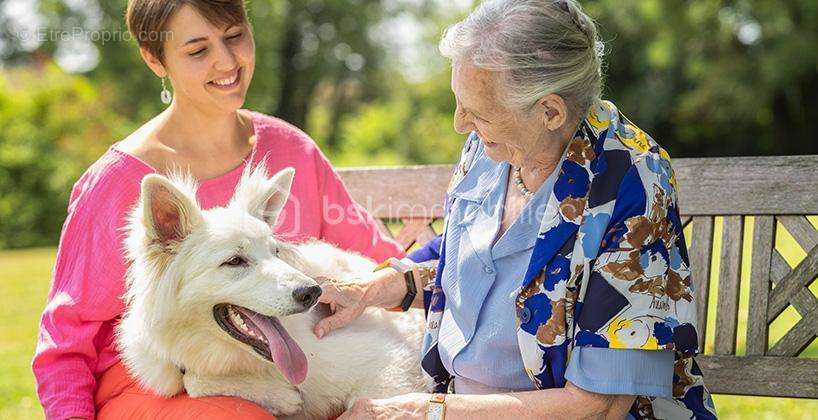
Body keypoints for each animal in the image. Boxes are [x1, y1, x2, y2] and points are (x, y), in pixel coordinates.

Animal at [118, 164, 434, 416]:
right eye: (235, 261)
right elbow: (190, 380)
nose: (313, 292)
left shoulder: (388, 364)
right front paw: (280, 396)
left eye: (276, 252)